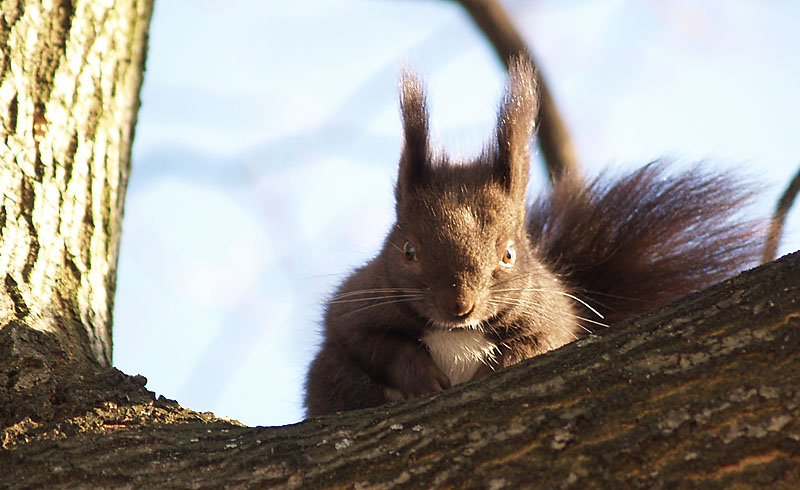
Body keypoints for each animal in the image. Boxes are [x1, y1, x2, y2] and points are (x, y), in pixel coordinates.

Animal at [302, 57, 764, 418]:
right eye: (409, 250)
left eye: (508, 255)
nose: (459, 306)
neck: (456, 333)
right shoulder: (355, 303)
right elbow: (371, 343)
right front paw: (422, 375)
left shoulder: (552, 314)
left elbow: (538, 345)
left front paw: (495, 368)